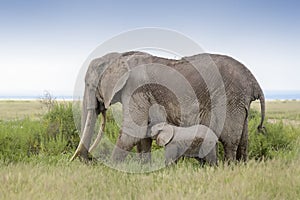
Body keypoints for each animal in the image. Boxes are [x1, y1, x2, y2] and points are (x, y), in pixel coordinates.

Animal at [71, 51, 264, 162]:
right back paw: (240, 167)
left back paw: (228, 167)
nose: (87, 160)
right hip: (240, 103)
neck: (119, 58)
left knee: (229, 139)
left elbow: (133, 131)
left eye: (88, 84)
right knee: (243, 140)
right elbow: (144, 135)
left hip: (230, 99)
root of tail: (254, 82)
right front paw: (143, 169)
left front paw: (112, 169)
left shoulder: (135, 90)